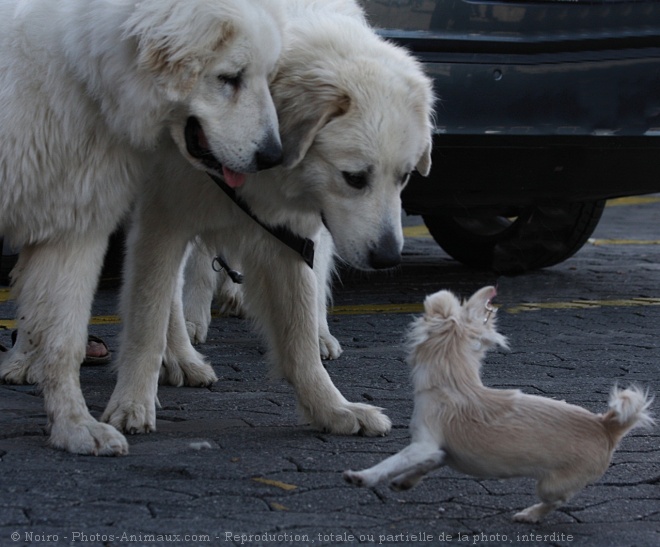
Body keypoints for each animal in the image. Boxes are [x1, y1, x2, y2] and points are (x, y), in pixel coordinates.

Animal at [0, 0, 282, 454]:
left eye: (265, 76)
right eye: (229, 78)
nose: (274, 156)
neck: (79, 65)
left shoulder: (75, 226)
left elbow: (65, 340)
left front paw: (75, 429)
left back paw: (181, 360)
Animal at [102, 0, 434, 440]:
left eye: (405, 176)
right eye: (354, 178)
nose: (388, 258)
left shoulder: (289, 237)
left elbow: (300, 336)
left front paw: (333, 409)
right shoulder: (165, 217)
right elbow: (148, 317)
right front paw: (132, 402)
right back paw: (181, 353)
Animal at [342, 286, 652, 524]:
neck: (453, 383)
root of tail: (607, 426)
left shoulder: (424, 444)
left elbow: (392, 461)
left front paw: (363, 477)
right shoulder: (441, 452)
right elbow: (424, 465)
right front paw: (404, 482)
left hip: (552, 484)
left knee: (556, 501)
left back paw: (530, 514)